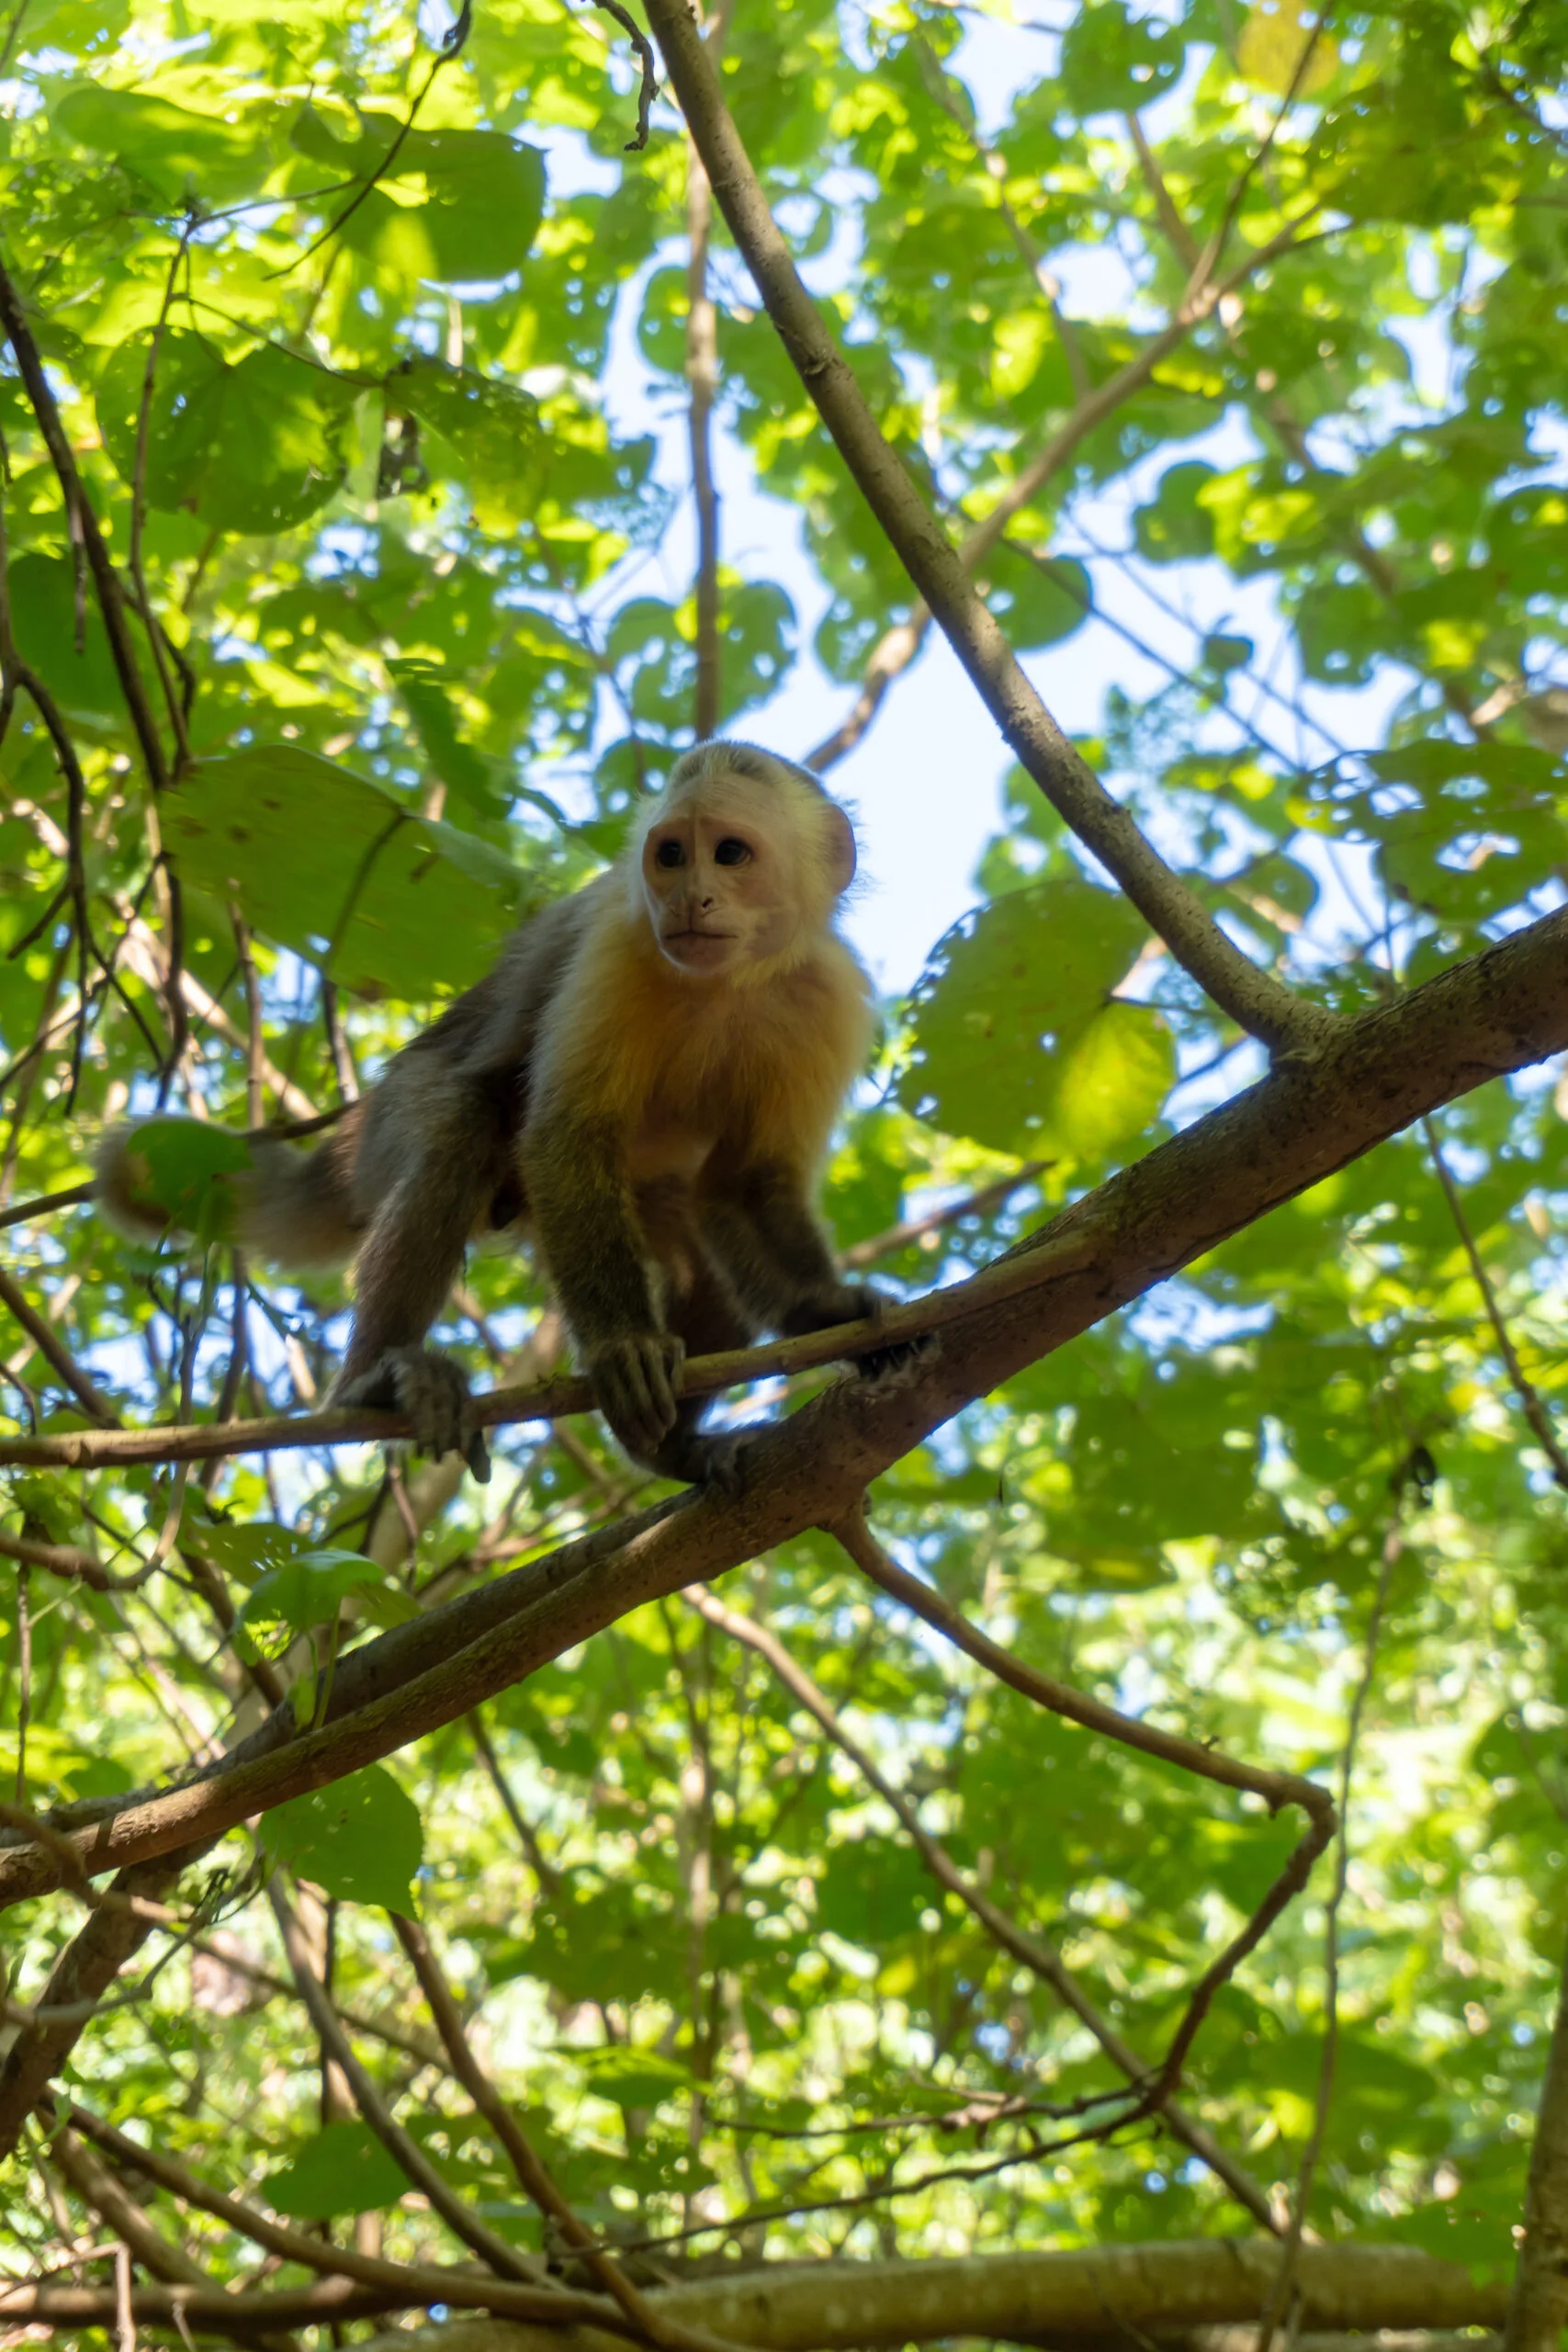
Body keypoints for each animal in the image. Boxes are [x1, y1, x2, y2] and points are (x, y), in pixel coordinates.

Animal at [99, 741, 885, 1491]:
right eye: (669, 855)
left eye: (729, 854)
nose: (691, 897)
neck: (730, 981)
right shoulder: (617, 948)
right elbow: (565, 1139)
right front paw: (624, 1347)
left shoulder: (827, 995)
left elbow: (747, 1180)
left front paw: (825, 1311)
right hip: (393, 1121)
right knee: (459, 1125)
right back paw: (375, 1385)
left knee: (702, 1251)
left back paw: (671, 1452)